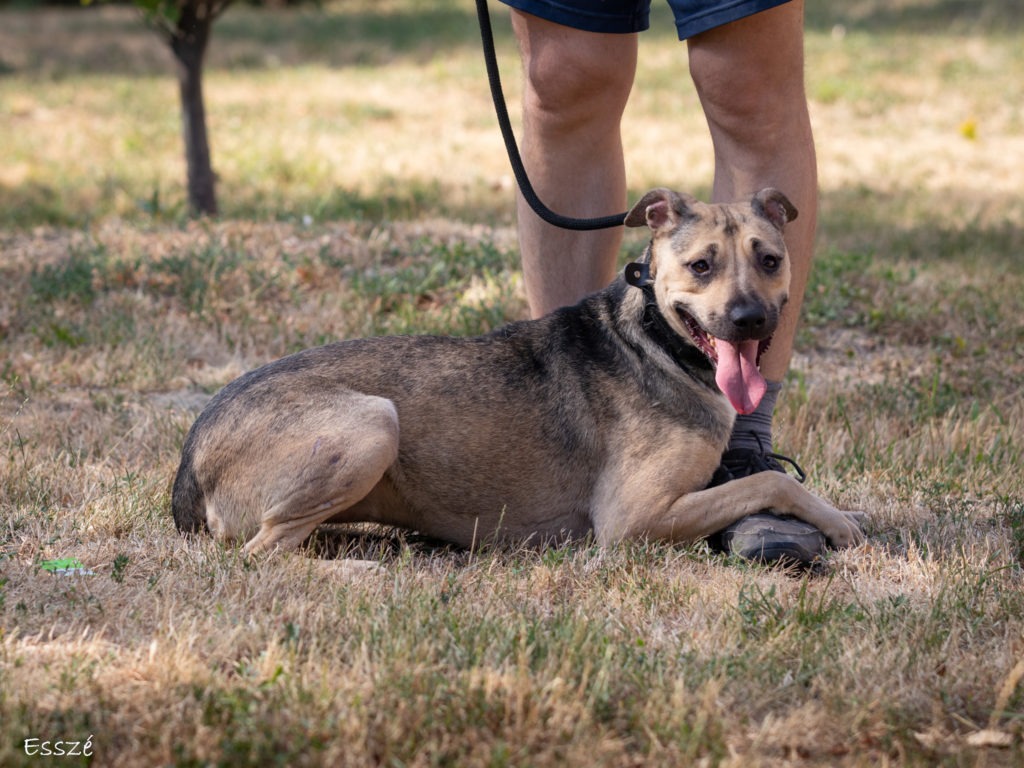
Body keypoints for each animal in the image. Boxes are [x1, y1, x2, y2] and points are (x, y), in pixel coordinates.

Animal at [169, 189, 864, 557]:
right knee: (261, 556)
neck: (659, 340)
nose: (748, 319)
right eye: (700, 266)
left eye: (770, 259)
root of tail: (190, 461)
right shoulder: (632, 520)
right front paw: (836, 522)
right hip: (372, 421)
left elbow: (760, 481)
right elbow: (773, 483)